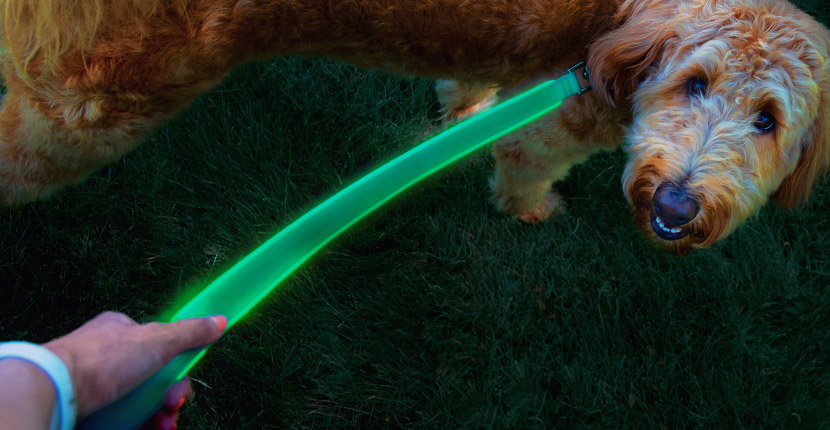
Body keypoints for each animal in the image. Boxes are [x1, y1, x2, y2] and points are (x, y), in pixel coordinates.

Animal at [0, 0, 828, 254]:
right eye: (695, 82)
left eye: (767, 119)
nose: (678, 208)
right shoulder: (554, 122)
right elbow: (523, 165)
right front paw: (529, 209)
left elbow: (470, 86)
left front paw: (459, 112)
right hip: (87, 106)